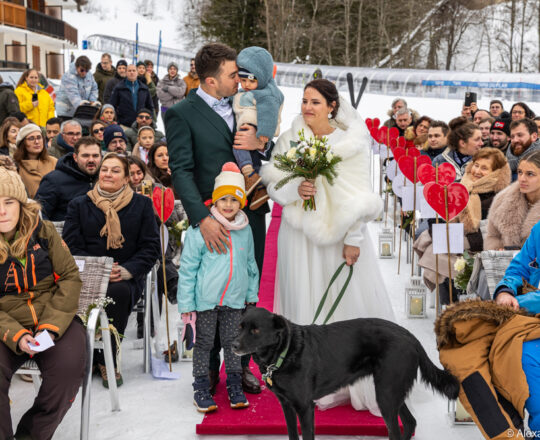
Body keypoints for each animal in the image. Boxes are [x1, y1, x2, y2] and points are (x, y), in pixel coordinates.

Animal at [233, 307, 459, 440]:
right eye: (240, 326)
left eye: (256, 330)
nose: (233, 345)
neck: (285, 352)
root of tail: (410, 336)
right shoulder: (286, 404)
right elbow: (292, 435)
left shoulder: (305, 407)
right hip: (391, 391)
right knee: (410, 422)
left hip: (386, 393)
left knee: (396, 431)